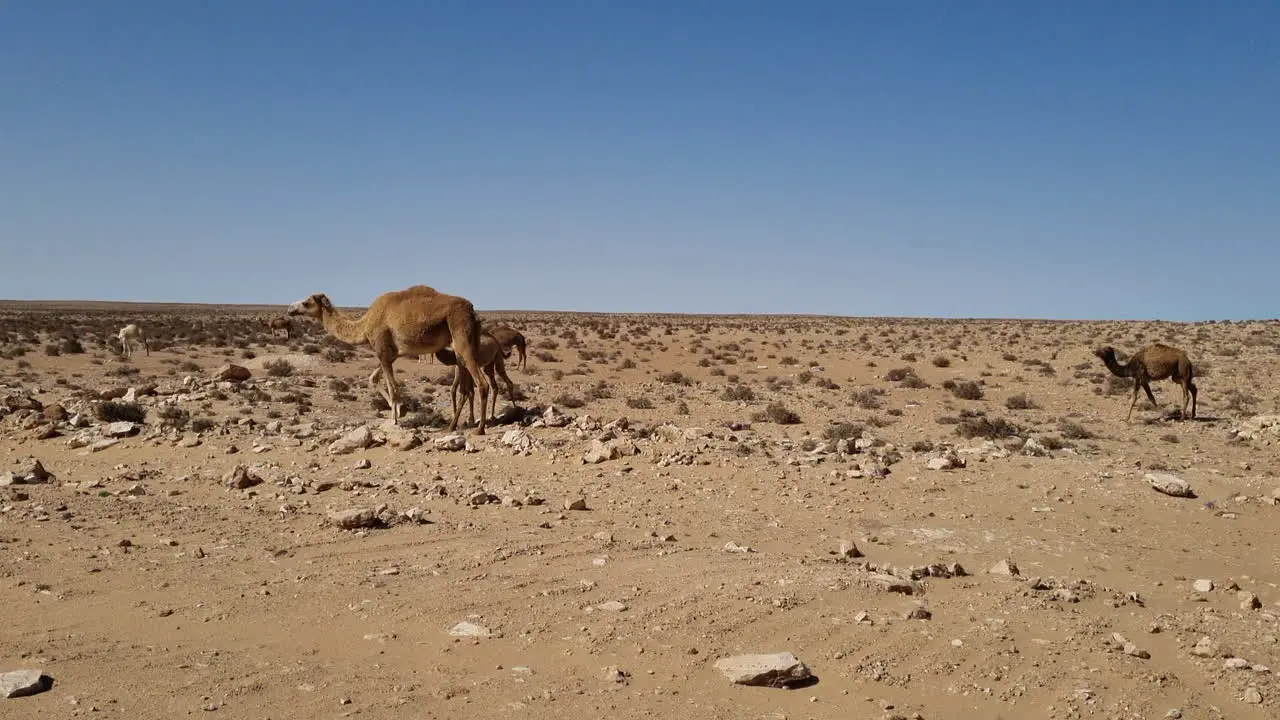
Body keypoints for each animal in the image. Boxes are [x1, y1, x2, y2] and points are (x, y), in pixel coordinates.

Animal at [288, 284, 491, 430]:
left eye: (306, 302)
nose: (290, 308)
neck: (364, 325)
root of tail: (472, 312)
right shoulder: (390, 354)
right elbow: (374, 378)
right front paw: (399, 411)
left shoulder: (381, 350)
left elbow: (392, 386)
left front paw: (395, 419)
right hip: (465, 343)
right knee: (467, 388)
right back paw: (460, 425)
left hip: (461, 335)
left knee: (481, 383)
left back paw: (479, 428)